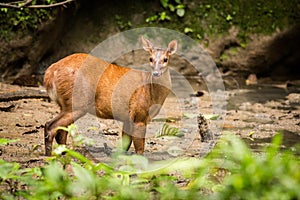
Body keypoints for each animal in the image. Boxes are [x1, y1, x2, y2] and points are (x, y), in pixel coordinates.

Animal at [43, 37, 177, 156]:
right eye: (150, 58)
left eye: (165, 59)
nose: (156, 73)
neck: (152, 92)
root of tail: (50, 72)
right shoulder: (140, 114)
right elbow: (139, 148)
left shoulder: (128, 117)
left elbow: (125, 145)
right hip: (78, 101)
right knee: (50, 125)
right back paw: (49, 156)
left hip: (66, 104)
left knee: (61, 130)